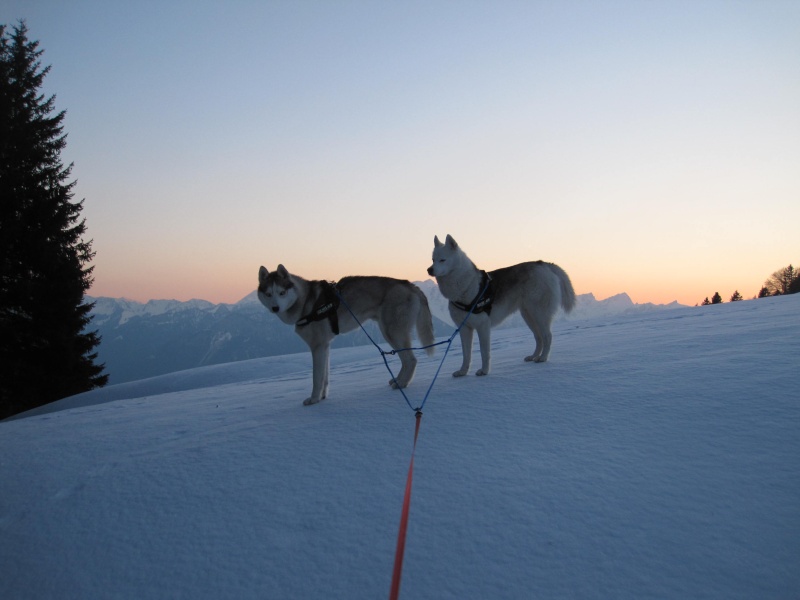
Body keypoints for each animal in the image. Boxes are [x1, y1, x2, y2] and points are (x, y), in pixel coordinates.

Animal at [258, 264, 434, 406]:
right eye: (268, 294)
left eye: (282, 292)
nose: (275, 308)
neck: (305, 301)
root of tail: (410, 285)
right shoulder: (325, 346)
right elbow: (324, 378)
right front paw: (322, 397)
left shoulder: (317, 346)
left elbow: (316, 378)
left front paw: (313, 400)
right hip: (389, 332)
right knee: (406, 361)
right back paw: (398, 380)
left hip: (392, 332)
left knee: (411, 360)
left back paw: (402, 384)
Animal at [424, 234, 576, 376]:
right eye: (432, 259)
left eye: (442, 259)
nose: (429, 270)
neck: (464, 288)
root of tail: (544, 264)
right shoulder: (465, 329)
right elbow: (466, 355)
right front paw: (463, 372)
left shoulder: (483, 327)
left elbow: (484, 352)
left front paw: (484, 371)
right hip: (528, 315)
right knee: (538, 337)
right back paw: (534, 356)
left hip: (539, 314)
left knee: (547, 336)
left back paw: (543, 358)